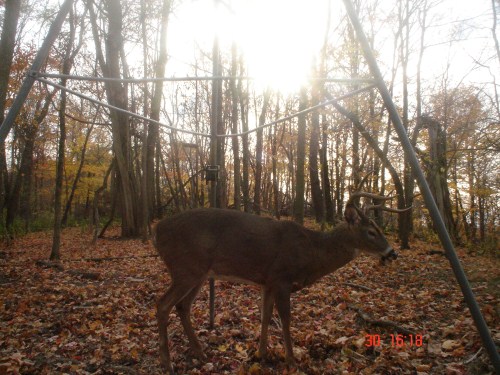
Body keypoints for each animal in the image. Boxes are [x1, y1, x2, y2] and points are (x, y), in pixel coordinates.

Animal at [154, 192, 404, 374]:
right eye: (371, 232)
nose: (392, 253)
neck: (312, 252)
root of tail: (157, 231)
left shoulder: (268, 282)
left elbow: (265, 315)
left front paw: (261, 354)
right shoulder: (282, 278)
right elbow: (285, 320)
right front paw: (291, 360)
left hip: (199, 274)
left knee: (182, 306)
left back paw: (199, 352)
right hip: (186, 269)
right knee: (163, 304)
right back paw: (167, 363)